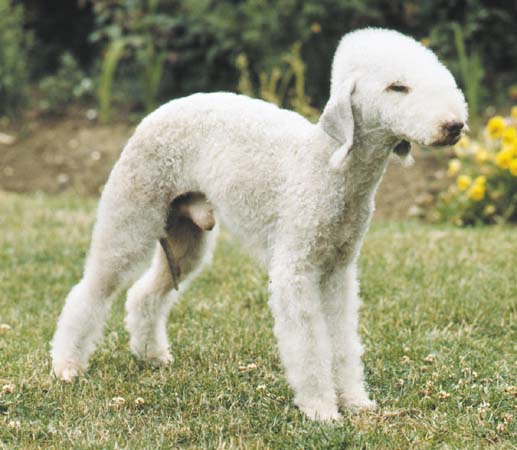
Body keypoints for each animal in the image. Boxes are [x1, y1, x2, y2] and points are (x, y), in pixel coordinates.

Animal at [51, 29, 468, 422]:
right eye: (397, 87)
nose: (455, 126)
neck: (329, 166)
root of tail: (158, 111)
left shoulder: (338, 271)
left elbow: (342, 342)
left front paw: (355, 402)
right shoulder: (295, 270)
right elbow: (309, 345)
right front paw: (321, 409)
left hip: (186, 238)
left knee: (144, 293)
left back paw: (151, 355)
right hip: (130, 216)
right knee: (90, 290)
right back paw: (66, 366)